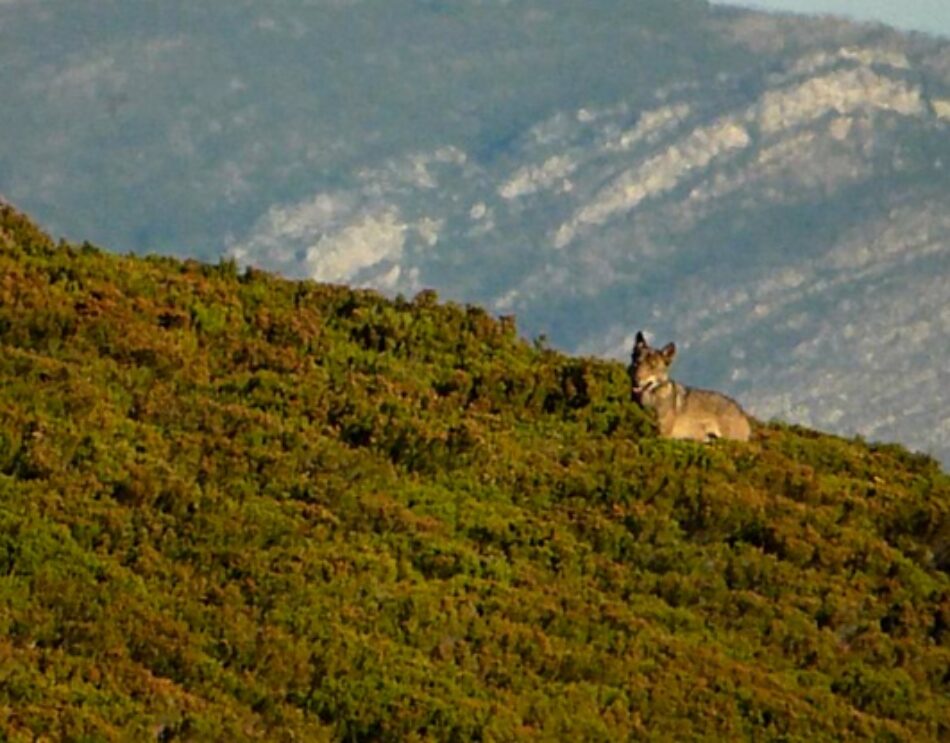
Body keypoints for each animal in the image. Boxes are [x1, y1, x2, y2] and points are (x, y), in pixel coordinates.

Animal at [628, 332, 756, 442]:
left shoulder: (663, 435)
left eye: (652, 367)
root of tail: (740, 410)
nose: (636, 380)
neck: (650, 400)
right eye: (637, 363)